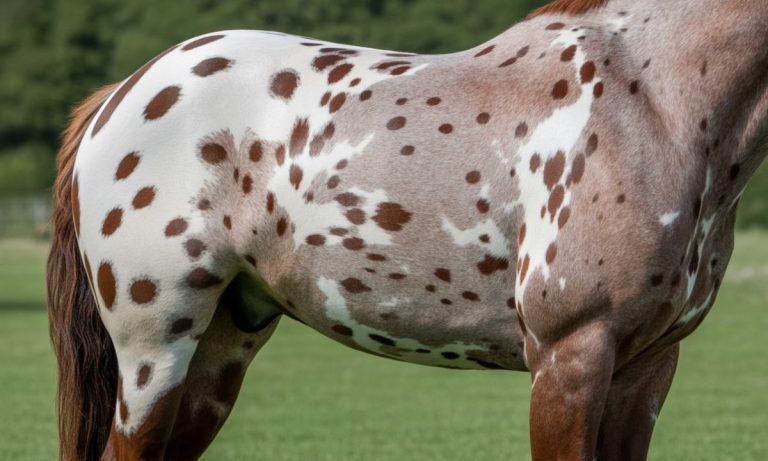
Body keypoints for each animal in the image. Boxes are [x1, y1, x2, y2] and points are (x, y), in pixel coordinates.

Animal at [46, 0, 768, 459]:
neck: (651, 99)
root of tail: (121, 94)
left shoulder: (647, 365)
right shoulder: (571, 354)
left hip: (217, 351)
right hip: (154, 352)